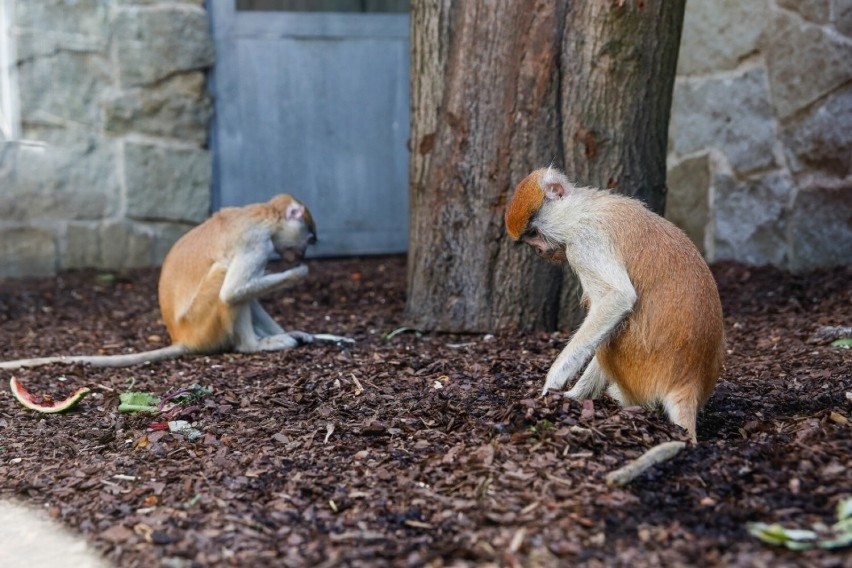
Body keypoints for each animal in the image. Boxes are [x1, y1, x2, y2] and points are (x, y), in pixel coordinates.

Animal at [0, 194, 340, 372]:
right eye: (310, 238)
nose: (302, 253)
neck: (261, 214)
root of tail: (182, 336)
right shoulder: (255, 243)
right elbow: (233, 292)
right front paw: (298, 275)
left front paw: (296, 332)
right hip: (202, 322)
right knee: (223, 279)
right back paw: (252, 345)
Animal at [506, 166, 724, 442]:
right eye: (529, 239)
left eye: (534, 234)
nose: (537, 251)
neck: (584, 207)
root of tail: (688, 383)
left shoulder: (585, 239)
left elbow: (617, 297)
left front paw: (554, 385)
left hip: (636, 362)